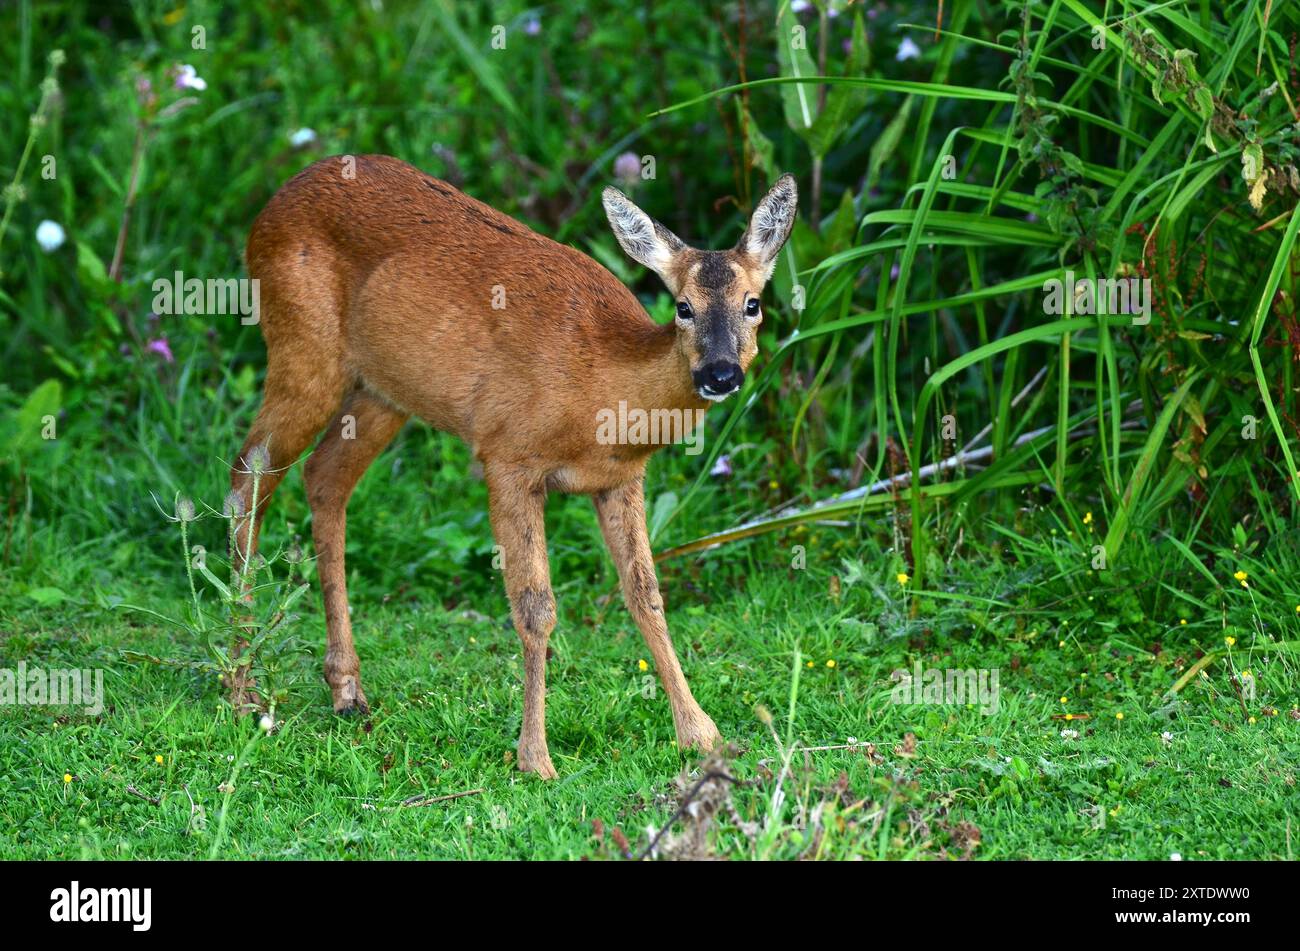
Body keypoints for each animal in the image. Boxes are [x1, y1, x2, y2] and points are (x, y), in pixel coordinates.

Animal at [230, 155, 795, 774]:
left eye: (753, 303)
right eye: (683, 307)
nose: (720, 373)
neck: (601, 388)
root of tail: (269, 209)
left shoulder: (621, 479)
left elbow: (645, 593)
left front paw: (701, 734)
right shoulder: (507, 457)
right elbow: (535, 606)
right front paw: (536, 758)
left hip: (384, 393)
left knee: (325, 477)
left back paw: (346, 690)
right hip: (302, 348)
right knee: (248, 477)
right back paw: (242, 690)